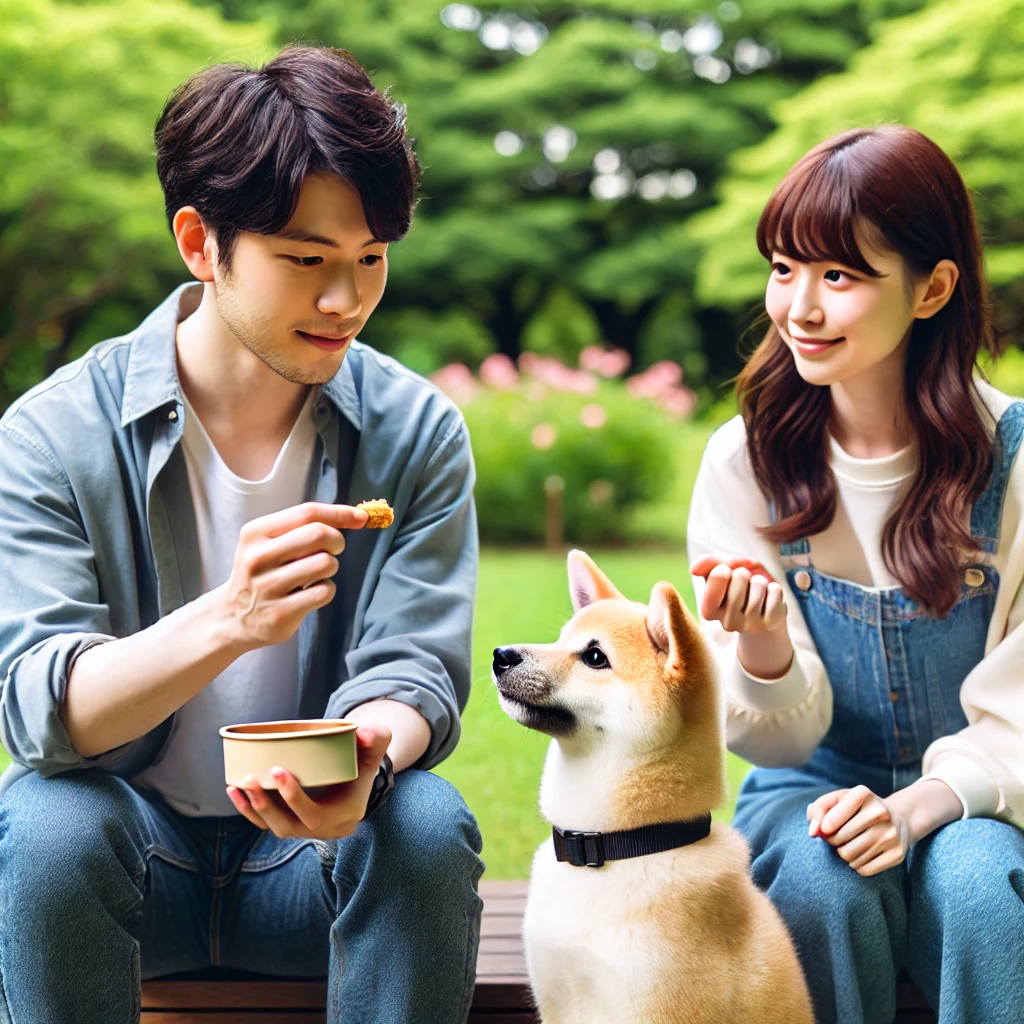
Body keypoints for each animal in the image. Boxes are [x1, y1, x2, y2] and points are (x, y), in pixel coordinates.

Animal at [491, 552, 811, 1024]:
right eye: (561, 639)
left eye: (595, 656)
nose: (500, 655)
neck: (615, 844)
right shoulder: (558, 1001)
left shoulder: (658, 1009)